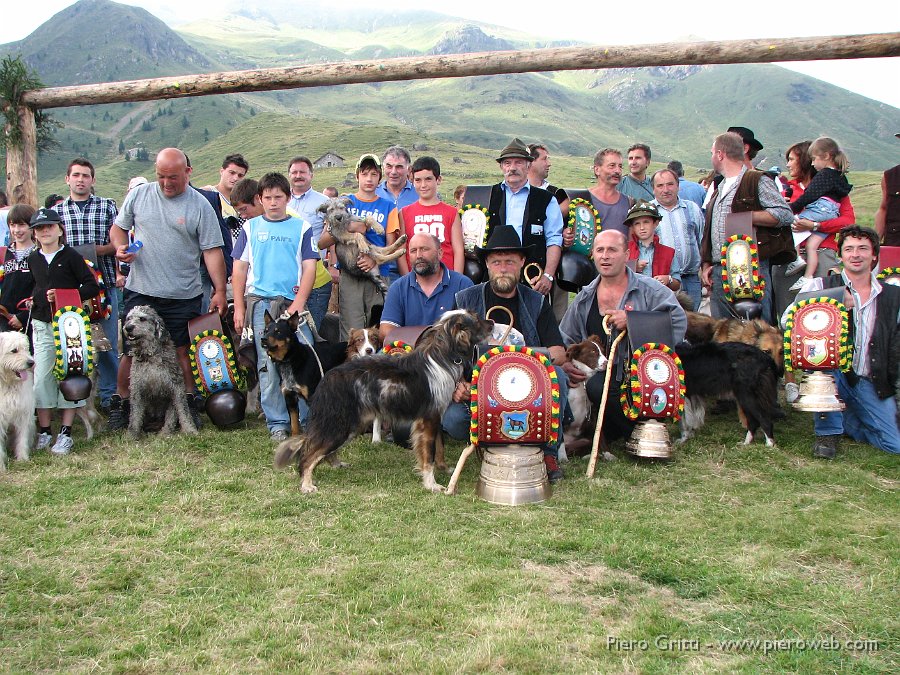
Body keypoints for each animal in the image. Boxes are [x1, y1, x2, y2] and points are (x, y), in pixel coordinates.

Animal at [0, 332, 36, 470]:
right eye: (14, 350)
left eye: (26, 348)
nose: (31, 362)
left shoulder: (23, 414)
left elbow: (22, 439)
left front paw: (23, 460)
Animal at [122, 304, 198, 438]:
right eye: (128, 318)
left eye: (142, 318)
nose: (128, 327)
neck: (151, 356)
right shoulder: (137, 390)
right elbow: (135, 416)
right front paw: (131, 436)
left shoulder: (176, 389)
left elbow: (182, 412)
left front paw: (189, 430)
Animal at [260, 308, 348, 436]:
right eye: (265, 331)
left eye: (278, 332)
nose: (263, 339)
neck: (290, 360)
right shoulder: (290, 398)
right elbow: (294, 425)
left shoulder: (311, 397)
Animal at [278, 308, 496, 494]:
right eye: (476, 319)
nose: (493, 322)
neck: (442, 358)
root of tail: (328, 378)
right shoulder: (428, 420)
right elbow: (428, 456)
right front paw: (431, 484)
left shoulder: (435, 418)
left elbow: (439, 448)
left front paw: (443, 468)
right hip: (339, 425)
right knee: (307, 455)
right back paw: (307, 484)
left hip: (349, 426)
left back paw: (336, 464)